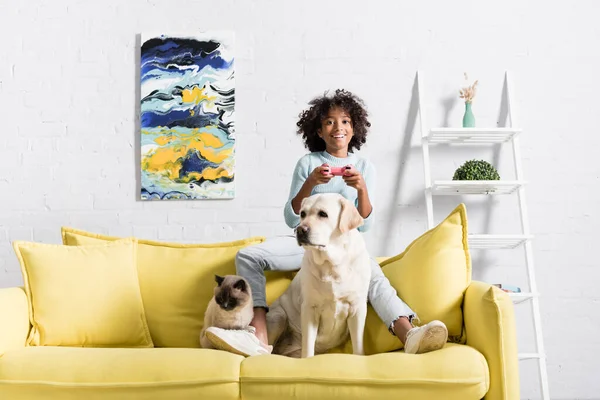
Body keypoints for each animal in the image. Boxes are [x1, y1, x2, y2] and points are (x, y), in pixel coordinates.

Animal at [266, 192, 370, 358]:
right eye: (302, 214)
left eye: (323, 214)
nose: (300, 230)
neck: (332, 263)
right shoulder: (310, 308)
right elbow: (308, 346)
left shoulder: (357, 308)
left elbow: (358, 345)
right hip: (278, 316)